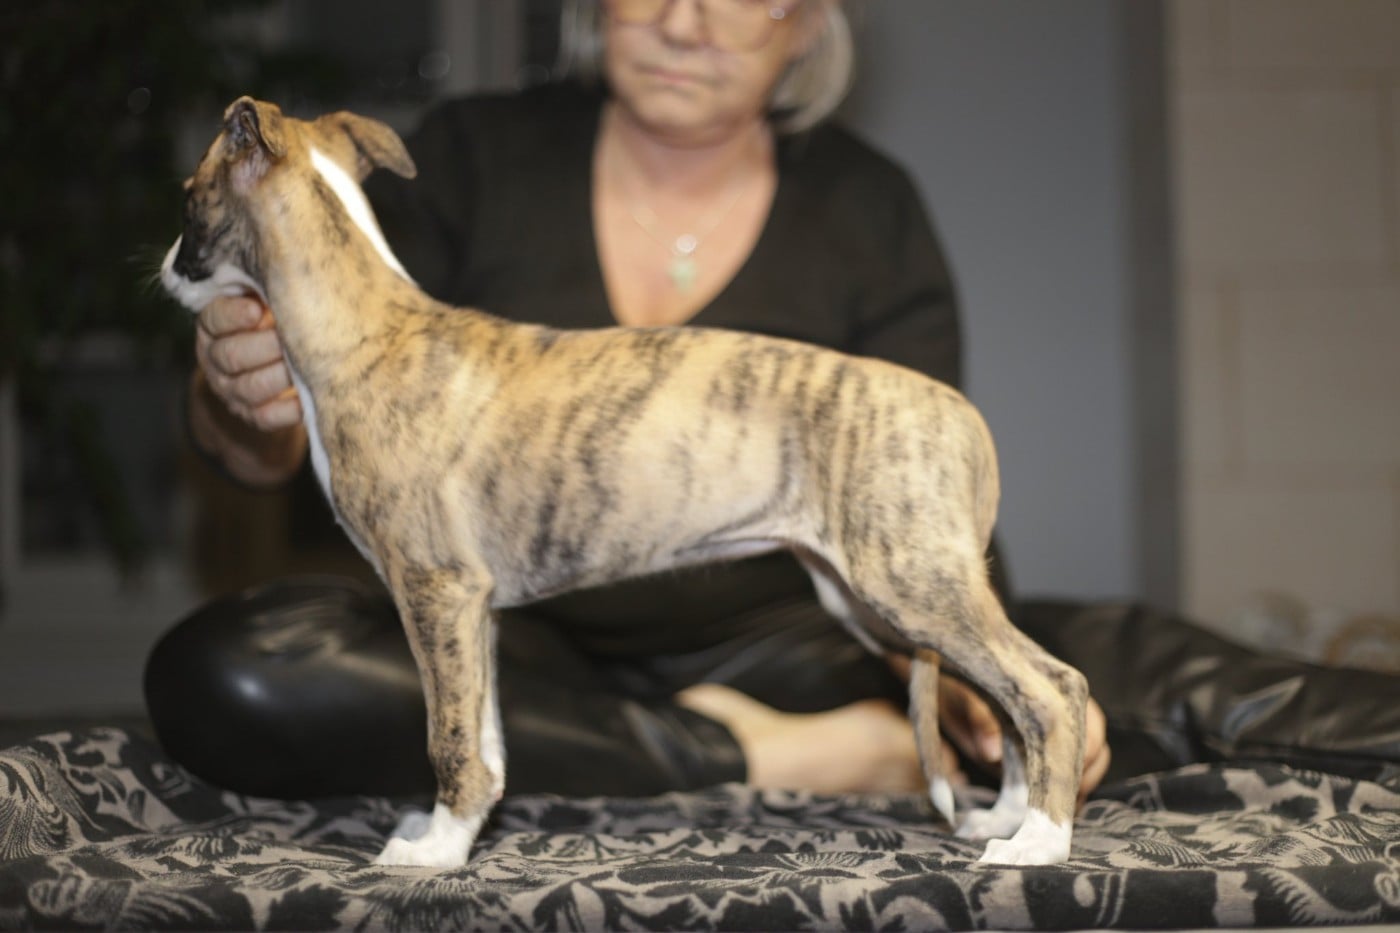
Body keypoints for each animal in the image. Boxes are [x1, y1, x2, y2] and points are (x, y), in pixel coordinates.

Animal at [161, 97, 1087, 868]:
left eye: (188, 195)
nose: (167, 268)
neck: (369, 330)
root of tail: (959, 413)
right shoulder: (473, 609)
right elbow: (487, 738)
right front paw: (459, 829)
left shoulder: (435, 589)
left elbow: (448, 734)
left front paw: (435, 854)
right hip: (874, 596)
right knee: (1005, 700)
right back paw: (1009, 814)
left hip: (909, 583)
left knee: (1050, 688)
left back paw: (1038, 843)